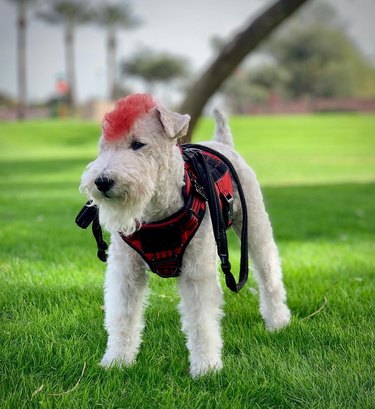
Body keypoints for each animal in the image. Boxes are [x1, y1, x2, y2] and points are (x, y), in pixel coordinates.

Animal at [78, 92, 290, 376]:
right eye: (104, 146)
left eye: (138, 144)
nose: (102, 182)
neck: (157, 213)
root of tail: (221, 142)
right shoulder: (125, 271)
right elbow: (122, 316)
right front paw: (117, 361)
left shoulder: (196, 273)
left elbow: (201, 322)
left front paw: (206, 368)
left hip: (254, 224)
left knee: (269, 272)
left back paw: (278, 321)